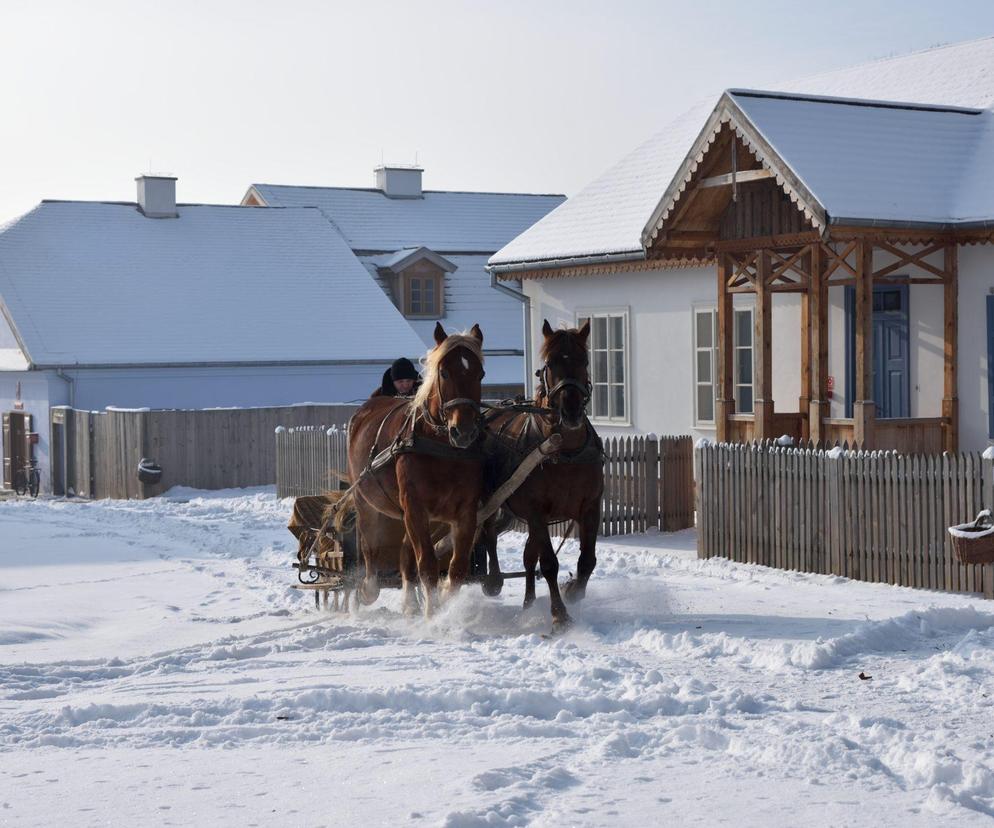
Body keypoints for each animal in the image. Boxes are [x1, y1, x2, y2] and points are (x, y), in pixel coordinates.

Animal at [346, 322, 486, 616]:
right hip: (366, 502)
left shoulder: (465, 512)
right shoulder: (415, 506)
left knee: (404, 556)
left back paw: (410, 603)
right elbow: (428, 565)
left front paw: (446, 607)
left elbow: (456, 569)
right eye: (444, 372)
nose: (464, 432)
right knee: (370, 550)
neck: (442, 449)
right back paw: (366, 590)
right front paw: (433, 615)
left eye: (480, 373)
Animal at [482, 320, 600, 632]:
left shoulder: (591, 507)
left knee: (527, 556)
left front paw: (574, 591)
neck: (564, 450)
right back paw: (493, 579)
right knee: (487, 532)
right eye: (550, 362)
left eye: (584, 360)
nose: (571, 409)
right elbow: (548, 564)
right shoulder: (536, 511)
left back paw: (528, 603)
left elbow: (587, 560)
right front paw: (559, 615)